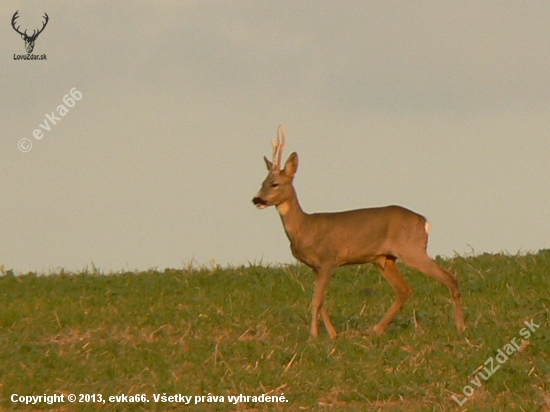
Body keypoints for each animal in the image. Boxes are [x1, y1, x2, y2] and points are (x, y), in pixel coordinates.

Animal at [253, 124, 466, 338]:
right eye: (262, 183)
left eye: (274, 184)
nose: (256, 199)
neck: (304, 228)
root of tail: (424, 222)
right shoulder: (315, 266)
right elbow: (321, 301)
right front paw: (333, 335)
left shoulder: (328, 260)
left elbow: (316, 300)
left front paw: (314, 336)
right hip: (384, 258)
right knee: (404, 290)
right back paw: (377, 329)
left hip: (412, 249)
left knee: (450, 278)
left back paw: (461, 326)